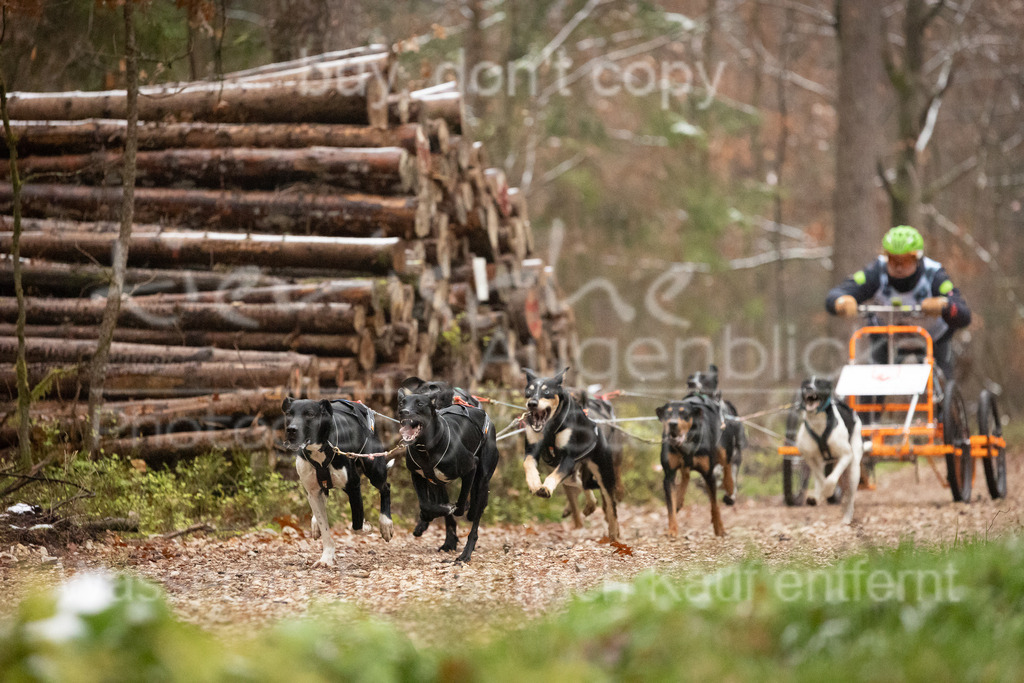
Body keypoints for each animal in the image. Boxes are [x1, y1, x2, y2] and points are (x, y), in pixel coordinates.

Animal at [282, 397, 393, 569]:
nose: (291, 430)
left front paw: (367, 526)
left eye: (310, 414)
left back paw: (386, 523)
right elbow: (325, 529)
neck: (320, 449)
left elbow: (357, 526)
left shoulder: (354, 487)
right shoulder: (313, 493)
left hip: (374, 467)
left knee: (385, 488)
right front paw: (326, 557)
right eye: (289, 413)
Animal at [395, 376, 499, 565]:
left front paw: (459, 507)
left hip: (482, 478)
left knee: (474, 523)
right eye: (401, 403)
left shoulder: (471, 467)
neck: (427, 448)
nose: (403, 412)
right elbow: (427, 505)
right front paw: (430, 517)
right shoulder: (419, 476)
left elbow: (460, 504)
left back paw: (465, 554)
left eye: (420, 404)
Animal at [524, 366, 618, 540]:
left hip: (602, 473)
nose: (532, 403)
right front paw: (534, 483)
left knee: (611, 503)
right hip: (571, 475)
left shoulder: (568, 457)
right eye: (529, 391)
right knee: (581, 483)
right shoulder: (532, 450)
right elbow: (528, 464)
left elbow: (552, 477)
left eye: (546, 392)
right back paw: (590, 504)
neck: (550, 426)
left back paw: (614, 533)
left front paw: (546, 488)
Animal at [790, 378, 864, 524]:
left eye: (819, 383)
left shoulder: (846, 455)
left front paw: (828, 491)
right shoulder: (809, 457)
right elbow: (820, 478)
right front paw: (817, 495)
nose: (809, 387)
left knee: (850, 495)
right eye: (806, 383)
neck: (818, 423)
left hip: (853, 469)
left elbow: (830, 480)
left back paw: (847, 517)